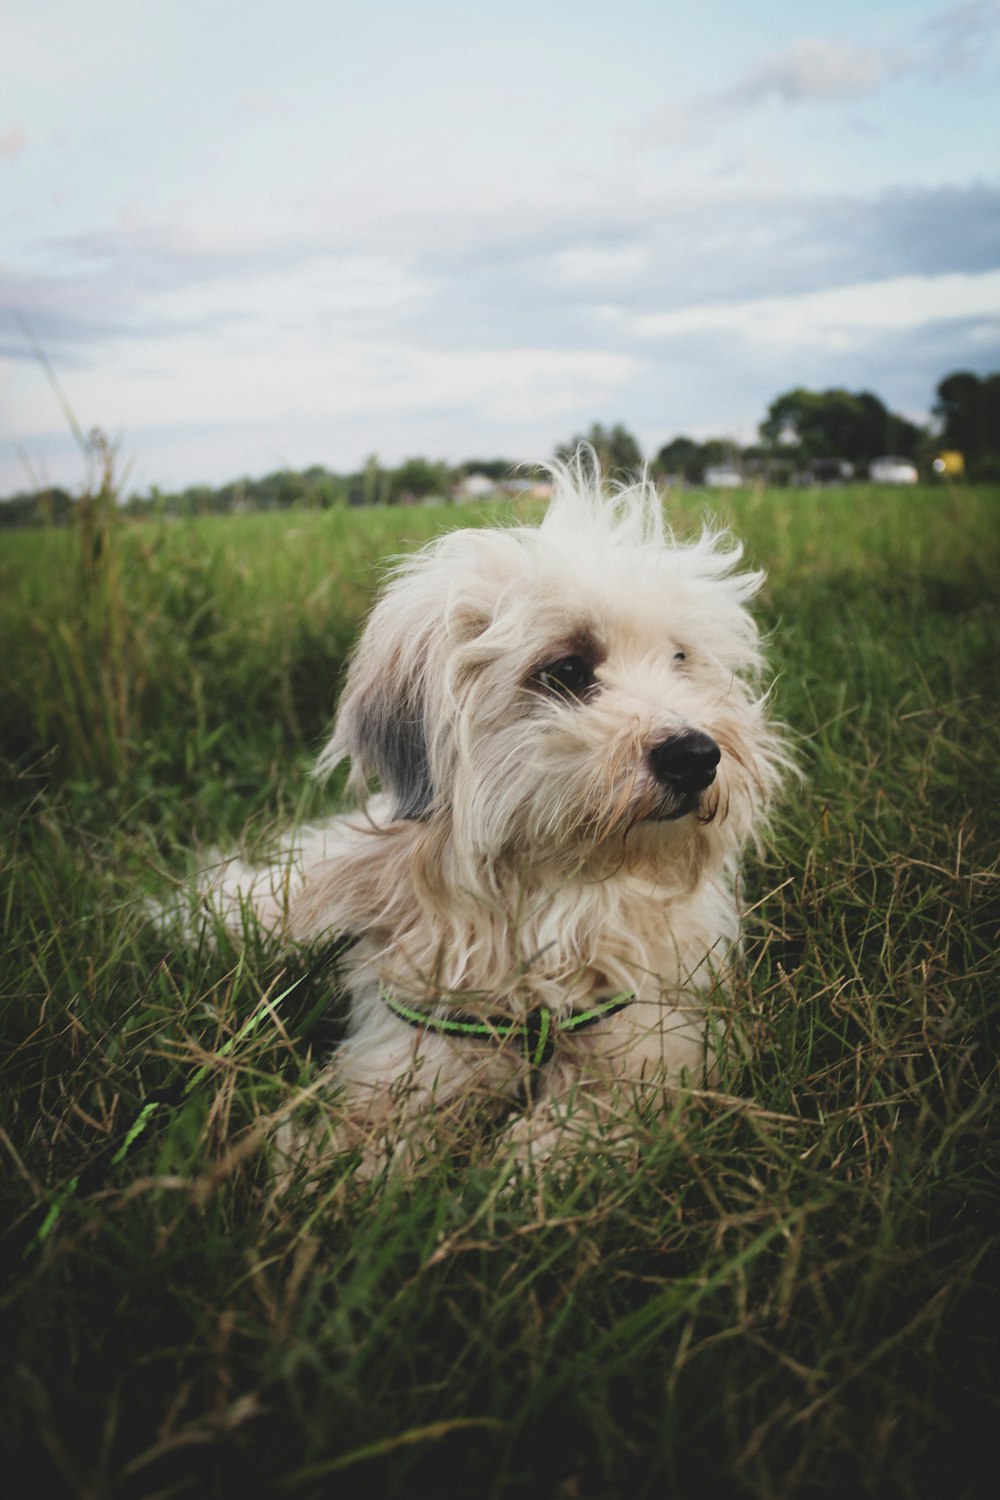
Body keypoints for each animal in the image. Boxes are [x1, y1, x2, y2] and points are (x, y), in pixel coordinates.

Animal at [187, 450, 791, 1176]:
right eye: (567, 670)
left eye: (680, 659)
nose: (697, 756)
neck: (553, 899)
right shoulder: (418, 1032)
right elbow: (378, 1117)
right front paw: (336, 1170)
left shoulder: (654, 1033)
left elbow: (583, 1123)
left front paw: (518, 1173)